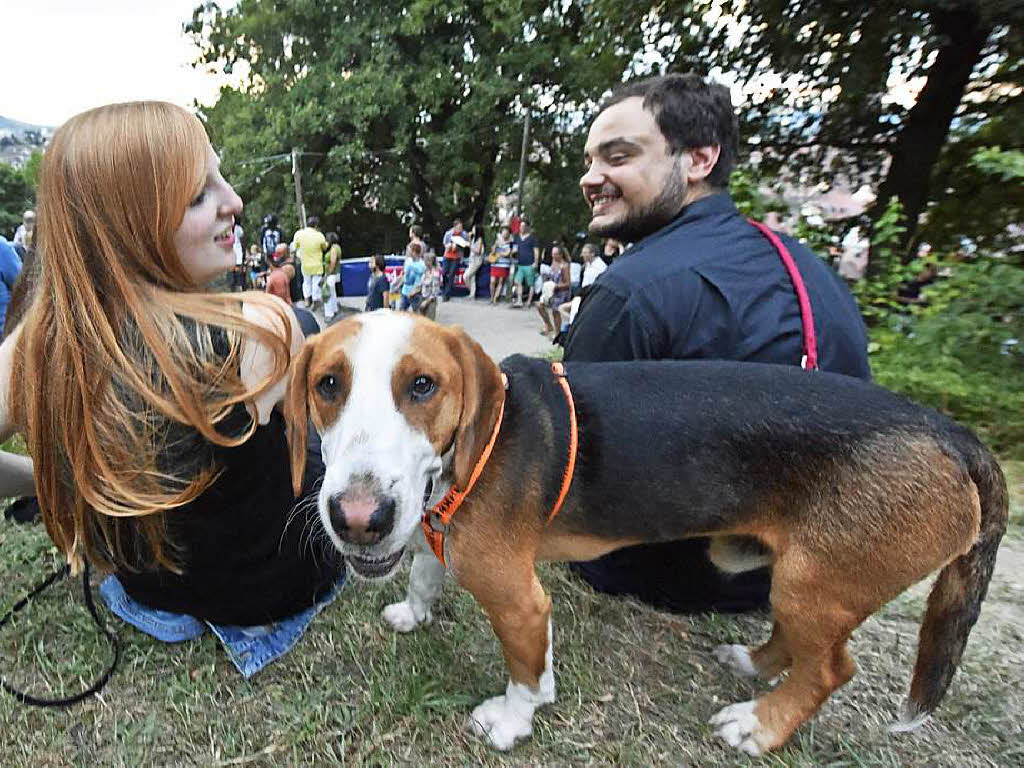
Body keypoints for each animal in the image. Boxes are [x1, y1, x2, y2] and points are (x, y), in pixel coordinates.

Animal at [286, 313, 1007, 757]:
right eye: (328, 384)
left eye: (423, 385)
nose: (358, 516)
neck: (473, 452)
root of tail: (951, 432)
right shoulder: (440, 533)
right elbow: (424, 570)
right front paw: (414, 611)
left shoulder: (518, 599)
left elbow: (526, 671)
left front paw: (514, 721)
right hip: (793, 576)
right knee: (797, 648)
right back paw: (754, 667)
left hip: (814, 587)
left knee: (830, 668)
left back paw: (760, 726)